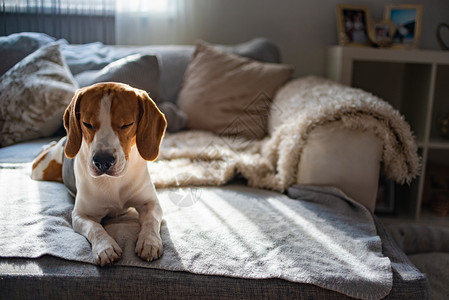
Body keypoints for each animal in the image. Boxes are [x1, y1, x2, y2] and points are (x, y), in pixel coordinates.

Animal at [30, 81, 166, 264]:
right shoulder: (81, 215)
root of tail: (64, 140)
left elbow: (151, 221)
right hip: (40, 170)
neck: (114, 183)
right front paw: (105, 247)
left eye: (126, 124)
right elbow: (95, 228)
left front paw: (149, 241)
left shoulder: (151, 203)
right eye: (87, 124)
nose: (102, 161)